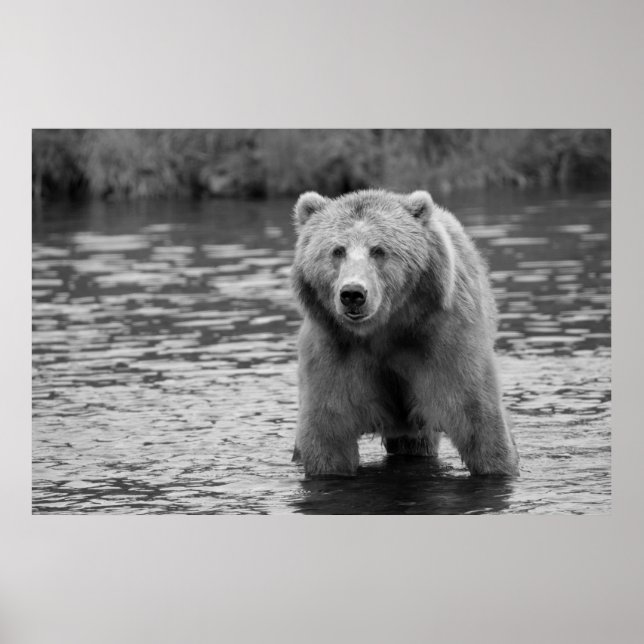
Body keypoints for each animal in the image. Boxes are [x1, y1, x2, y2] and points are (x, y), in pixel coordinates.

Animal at [290, 188, 519, 479]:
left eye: (378, 250)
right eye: (337, 250)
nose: (353, 293)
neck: (385, 330)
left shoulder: (443, 342)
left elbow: (478, 420)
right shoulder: (335, 351)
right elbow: (328, 431)